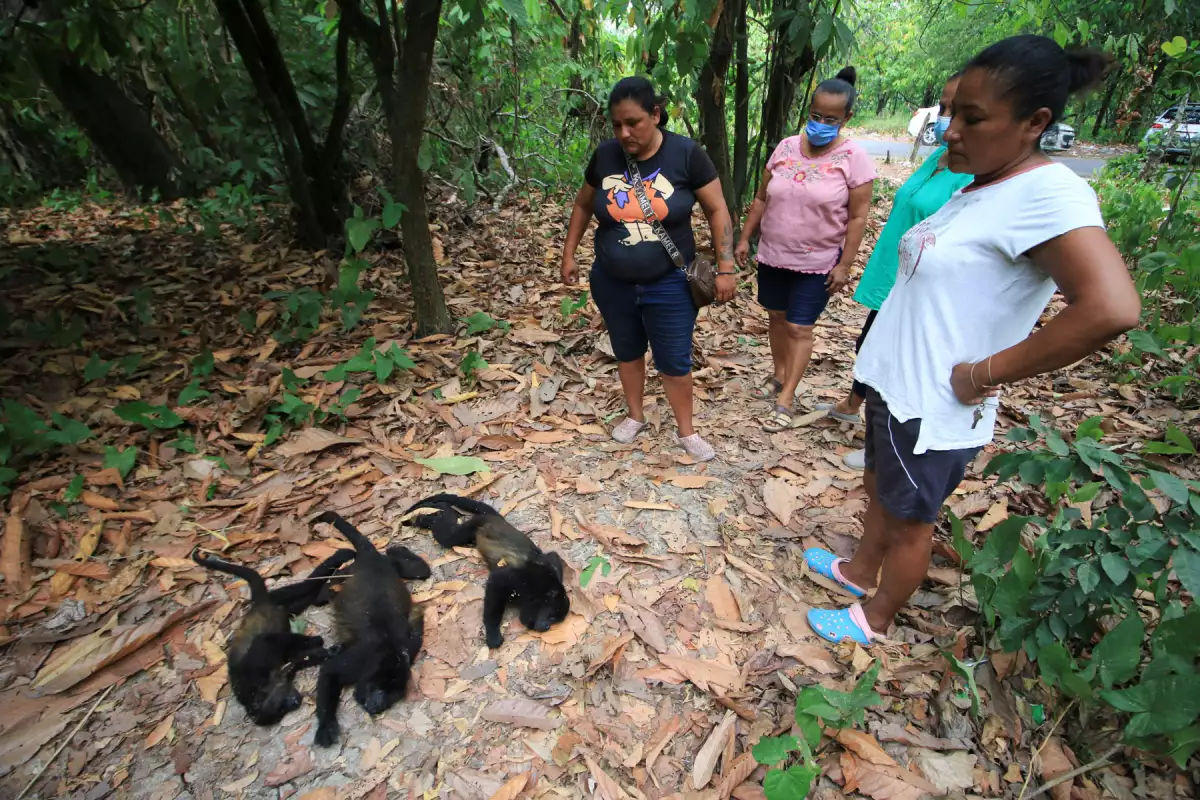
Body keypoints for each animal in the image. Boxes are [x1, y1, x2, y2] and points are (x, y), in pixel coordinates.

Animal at [189, 551, 352, 724]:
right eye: (281, 712)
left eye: (280, 707)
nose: (295, 702)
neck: (259, 688)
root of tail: (257, 604)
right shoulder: (282, 675)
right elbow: (299, 660)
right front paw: (328, 652)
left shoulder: (256, 662)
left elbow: (266, 639)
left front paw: (317, 641)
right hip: (284, 606)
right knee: (301, 600)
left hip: (275, 599)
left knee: (302, 587)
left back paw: (338, 560)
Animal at [309, 510, 427, 748]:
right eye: (380, 689)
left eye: (392, 695)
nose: (378, 704)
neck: (387, 651)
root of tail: (372, 558)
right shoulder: (360, 658)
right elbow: (329, 671)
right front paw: (325, 726)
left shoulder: (408, 648)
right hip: (352, 570)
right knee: (323, 595)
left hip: (390, 565)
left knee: (420, 570)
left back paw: (397, 551)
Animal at [405, 494, 568, 652]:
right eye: (552, 617)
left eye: (555, 620)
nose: (547, 627)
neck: (541, 589)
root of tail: (496, 518)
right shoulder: (522, 577)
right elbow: (495, 583)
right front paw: (493, 633)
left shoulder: (549, 566)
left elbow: (553, 555)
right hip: (475, 524)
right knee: (448, 536)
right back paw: (429, 516)